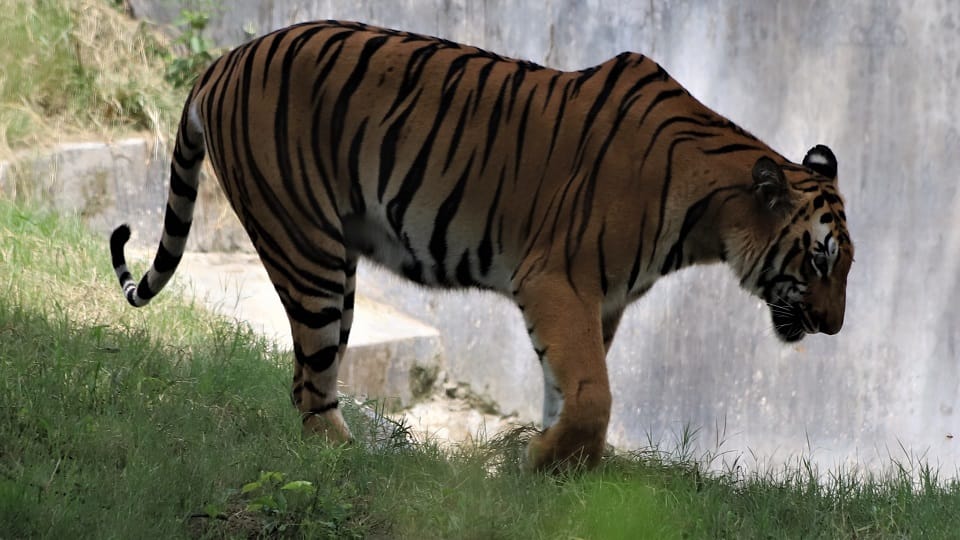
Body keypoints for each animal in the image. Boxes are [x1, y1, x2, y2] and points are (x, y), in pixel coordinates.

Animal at [109, 20, 853, 471]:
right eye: (819, 257)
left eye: (845, 264)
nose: (835, 326)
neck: (710, 219)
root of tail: (222, 62)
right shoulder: (557, 279)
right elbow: (593, 393)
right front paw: (542, 465)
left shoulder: (602, 301)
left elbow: (567, 386)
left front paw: (560, 475)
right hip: (307, 250)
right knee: (311, 386)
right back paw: (353, 464)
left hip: (335, 272)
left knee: (307, 380)